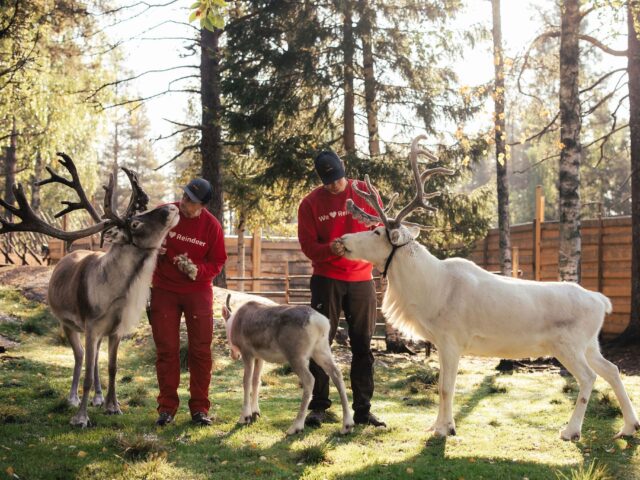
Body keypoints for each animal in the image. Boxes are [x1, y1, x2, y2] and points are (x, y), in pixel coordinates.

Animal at [0, 153, 179, 427]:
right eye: (135, 223)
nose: (172, 208)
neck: (117, 295)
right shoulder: (90, 325)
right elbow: (85, 369)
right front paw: (80, 418)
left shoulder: (115, 330)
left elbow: (112, 368)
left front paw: (113, 406)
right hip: (68, 324)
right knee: (81, 356)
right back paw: (74, 398)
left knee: (94, 361)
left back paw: (98, 398)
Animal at [337, 135, 640, 441]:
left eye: (377, 231)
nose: (342, 239)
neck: (427, 290)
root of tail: (601, 301)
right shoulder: (442, 343)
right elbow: (442, 386)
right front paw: (437, 425)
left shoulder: (451, 340)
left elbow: (445, 388)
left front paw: (445, 429)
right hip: (590, 344)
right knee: (613, 370)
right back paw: (628, 426)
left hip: (568, 344)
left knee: (589, 377)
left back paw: (571, 430)